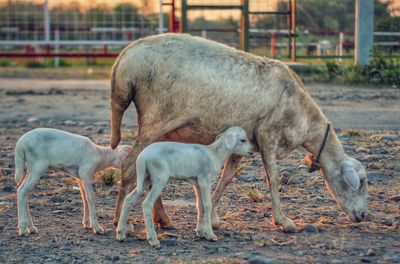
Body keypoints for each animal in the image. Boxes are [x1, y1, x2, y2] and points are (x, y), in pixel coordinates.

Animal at [108, 32, 366, 231]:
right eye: (361, 181)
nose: (364, 216)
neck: (303, 118)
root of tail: (124, 59)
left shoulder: (245, 142)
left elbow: (227, 177)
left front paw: (211, 217)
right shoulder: (268, 135)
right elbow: (273, 179)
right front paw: (283, 221)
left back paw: (162, 219)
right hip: (155, 117)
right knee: (129, 165)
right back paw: (120, 221)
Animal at [115, 126, 253, 248]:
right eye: (243, 140)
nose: (251, 151)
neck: (214, 154)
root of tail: (142, 156)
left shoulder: (197, 183)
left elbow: (200, 205)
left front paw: (200, 232)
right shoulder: (205, 181)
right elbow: (208, 205)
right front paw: (210, 234)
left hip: (145, 178)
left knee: (129, 199)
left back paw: (121, 234)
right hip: (159, 178)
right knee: (147, 203)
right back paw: (153, 240)